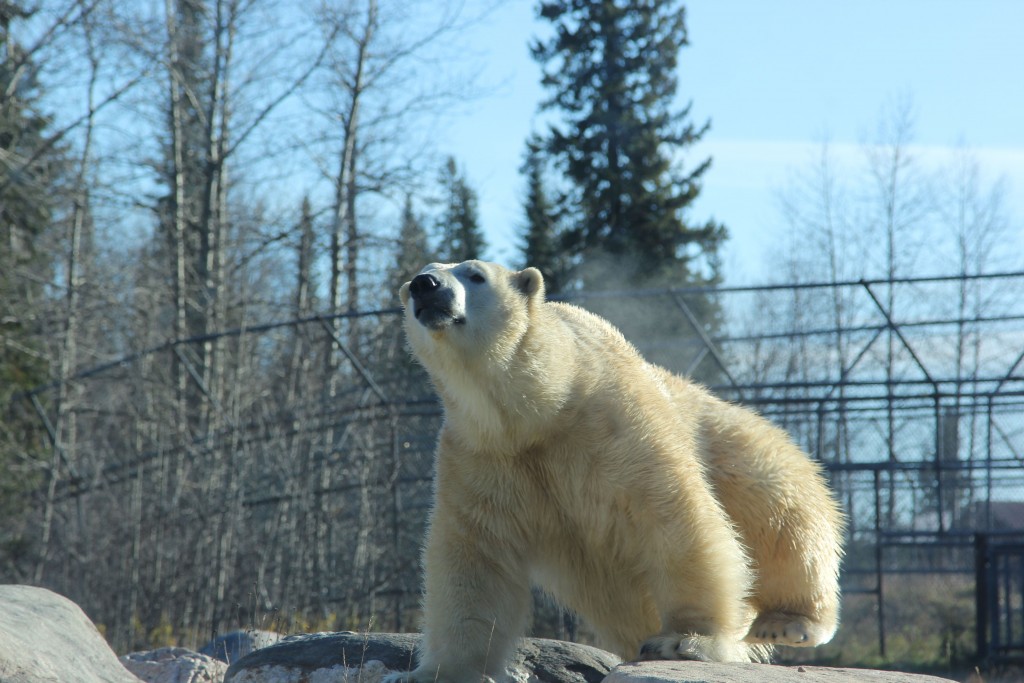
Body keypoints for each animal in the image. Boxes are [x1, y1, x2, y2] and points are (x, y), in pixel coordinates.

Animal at [387, 259, 843, 679]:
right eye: (419, 277)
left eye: (476, 275)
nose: (425, 285)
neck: (538, 409)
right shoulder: (480, 457)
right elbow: (474, 561)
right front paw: (436, 670)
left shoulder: (614, 424)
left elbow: (675, 518)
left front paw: (686, 639)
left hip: (736, 442)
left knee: (781, 516)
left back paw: (785, 622)